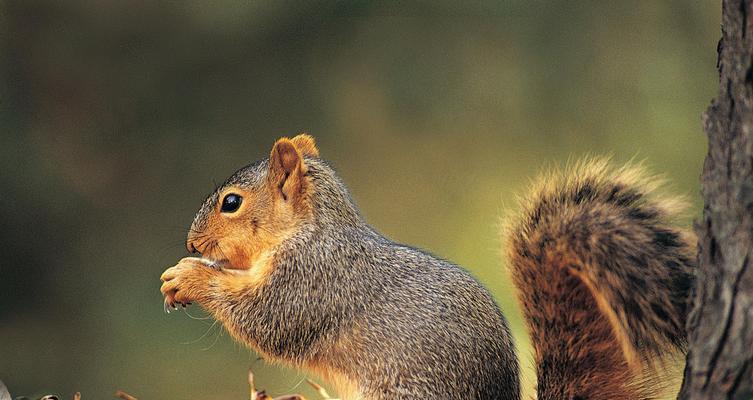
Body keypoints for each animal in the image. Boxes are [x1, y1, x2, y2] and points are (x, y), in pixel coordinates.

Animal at [159, 135, 692, 400]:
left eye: (231, 203)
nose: (189, 241)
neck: (312, 229)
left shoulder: (313, 279)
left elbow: (267, 320)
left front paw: (188, 275)